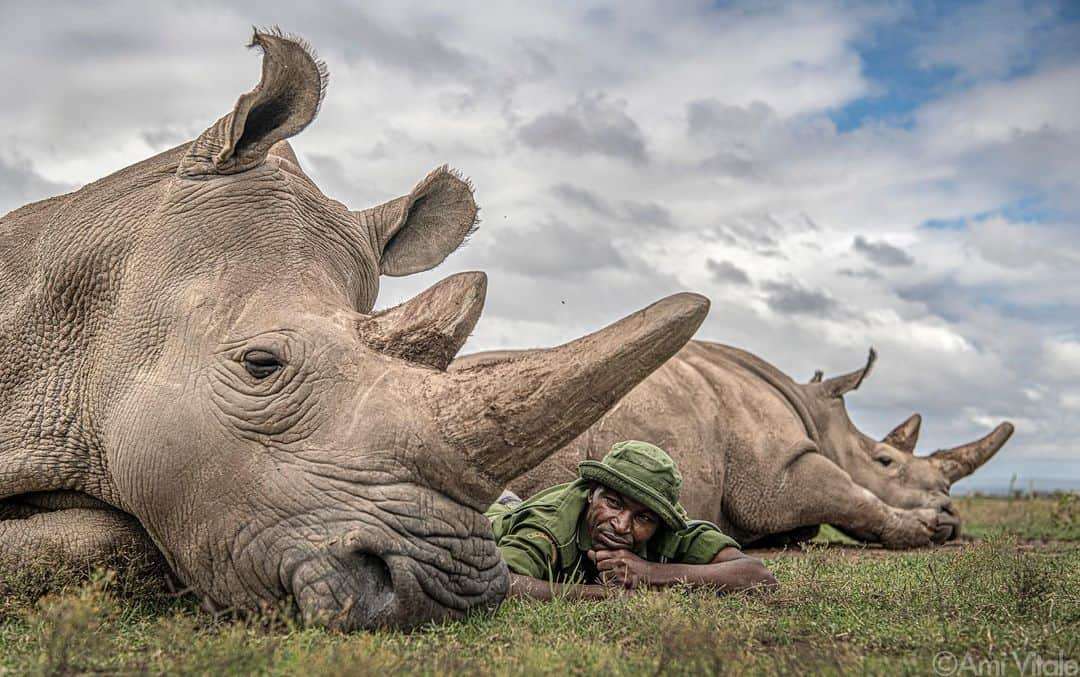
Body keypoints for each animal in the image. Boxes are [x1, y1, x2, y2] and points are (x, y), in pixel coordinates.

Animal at [460, 343, 1015, 550]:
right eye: (886, 461)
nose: (952, 516)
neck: (819, 414)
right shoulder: (778, 474)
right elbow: (851, 495)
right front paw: (923, 530)